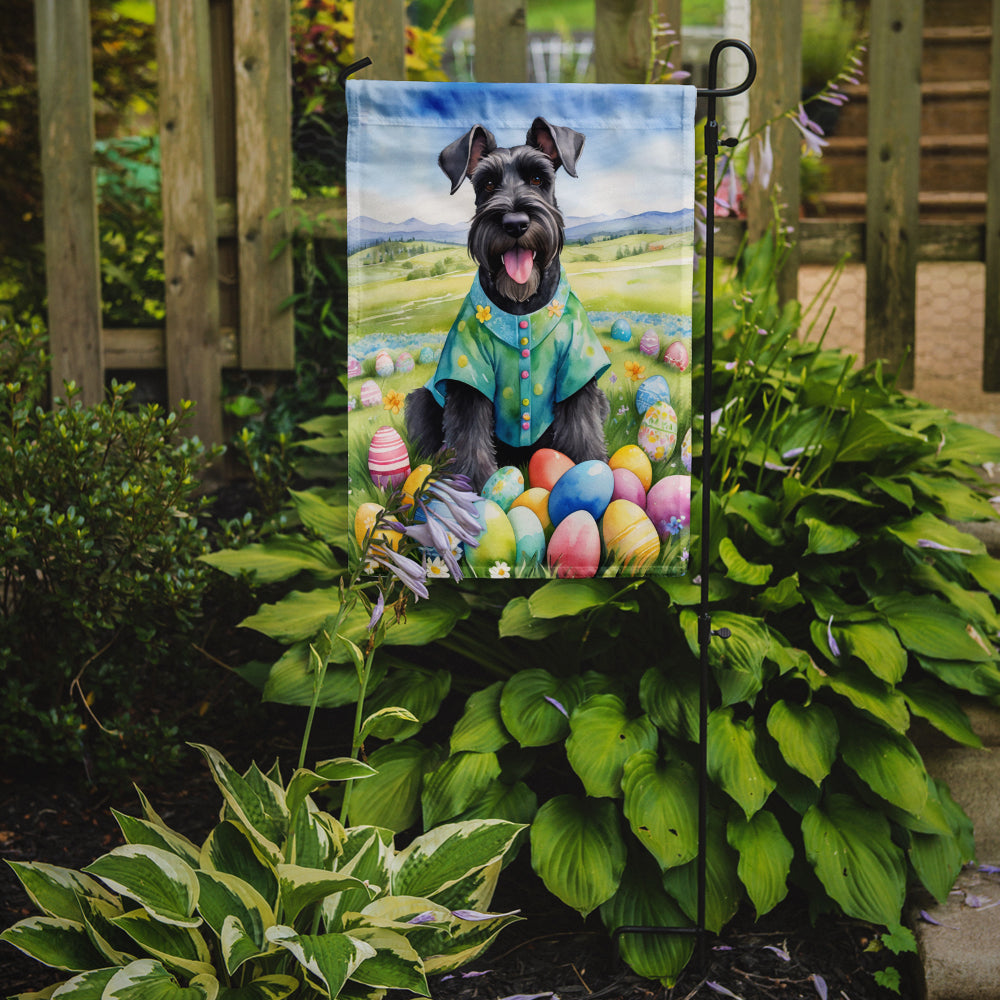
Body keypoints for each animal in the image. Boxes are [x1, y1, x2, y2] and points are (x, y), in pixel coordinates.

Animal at [404, 117, 608, 492]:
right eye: (486, 184)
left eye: (539, 179)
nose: (515, 224)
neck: (522, 308)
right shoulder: (467, 382)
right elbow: (469, 440)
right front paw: (474, 493)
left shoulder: (577, 375)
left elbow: (583, 433)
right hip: (421, 401)